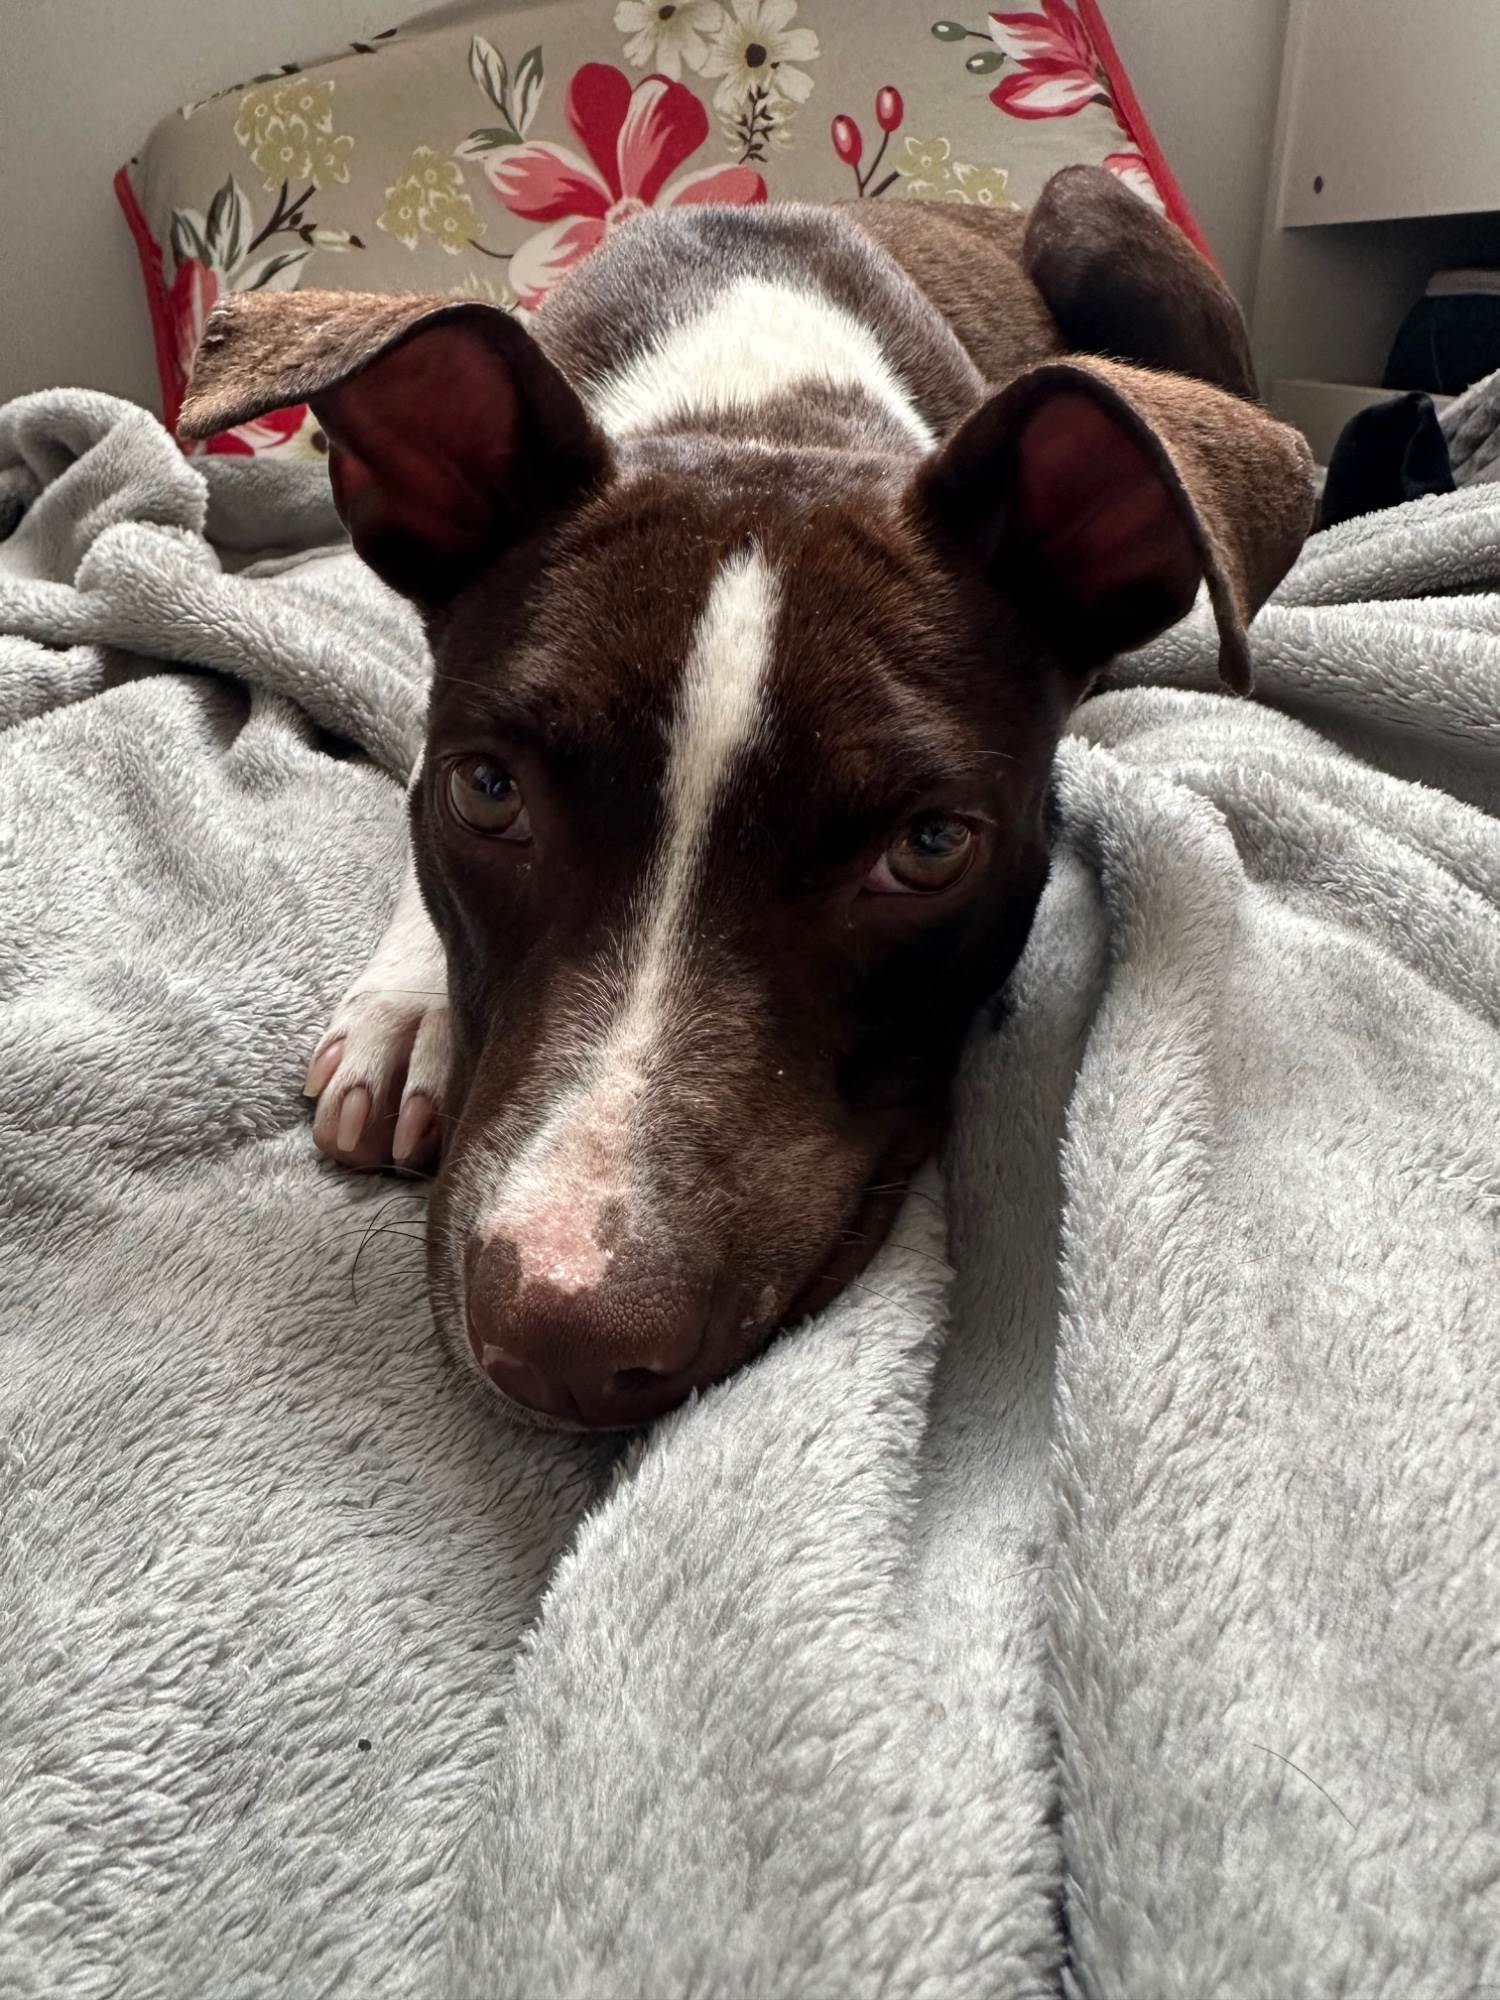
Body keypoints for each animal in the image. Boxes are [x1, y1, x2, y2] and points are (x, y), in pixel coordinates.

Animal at [180, 166, 1315, 1431]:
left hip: (1090, 206)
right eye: (486, 790)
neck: (755, 409)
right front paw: (406, 1003)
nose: (564, 1338)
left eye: (929, 847)